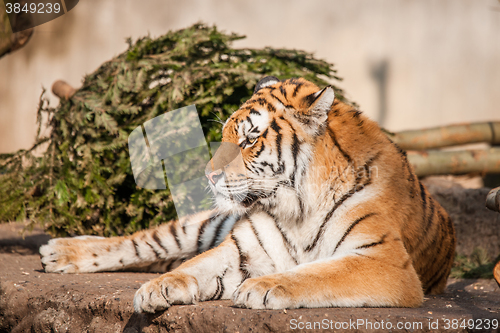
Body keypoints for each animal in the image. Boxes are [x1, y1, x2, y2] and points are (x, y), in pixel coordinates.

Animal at [39, 76, 456, 312]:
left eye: (250, 140)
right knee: (143, 242)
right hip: (203, 225)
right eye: (224, 134)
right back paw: (60, 251)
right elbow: (194, 265)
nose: (208, 175)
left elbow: (319, 273)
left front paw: (264, 287)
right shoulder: (243, 249)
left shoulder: (384, 262)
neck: (299, 208)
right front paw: (158, 289)